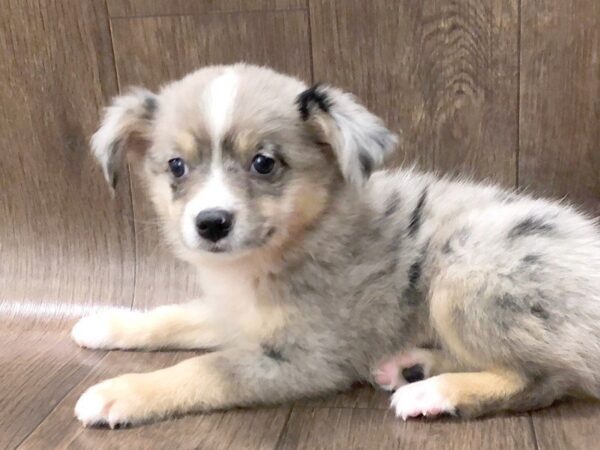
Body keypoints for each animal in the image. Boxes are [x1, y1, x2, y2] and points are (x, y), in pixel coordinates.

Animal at [72, 62, 600, 426]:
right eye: (177, 166)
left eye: (264, 163)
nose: (212, 223)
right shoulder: (235, 314)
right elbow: (174, 315)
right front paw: (105, 324)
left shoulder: (304, 358)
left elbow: (205, 369)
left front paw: (119, 392)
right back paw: (413, 367)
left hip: (467, 272)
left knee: (544, 378)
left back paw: (432, 393)